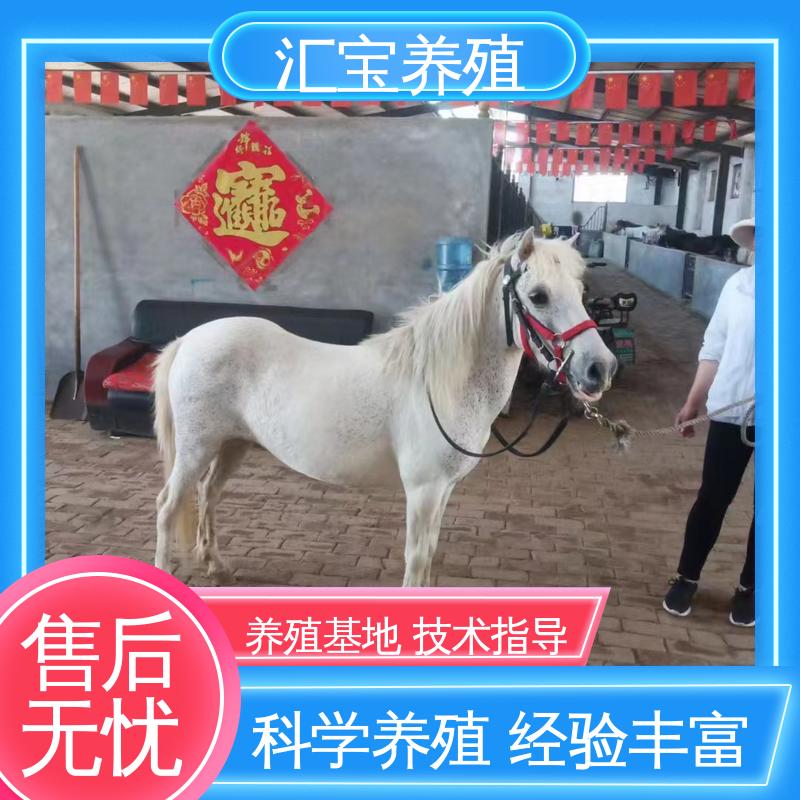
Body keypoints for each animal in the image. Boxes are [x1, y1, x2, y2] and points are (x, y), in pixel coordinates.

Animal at [152, 228, 618, 587]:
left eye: (581, 292)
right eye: (538, 296)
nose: (600, 368)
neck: (440, 380)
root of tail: (189, 339)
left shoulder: (443, 489)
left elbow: (429, 554)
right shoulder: (423, 489)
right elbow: (416, 557)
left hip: (233, 444)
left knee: (208, 495)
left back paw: (216, 566)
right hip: (197, 447)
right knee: (169, 504)